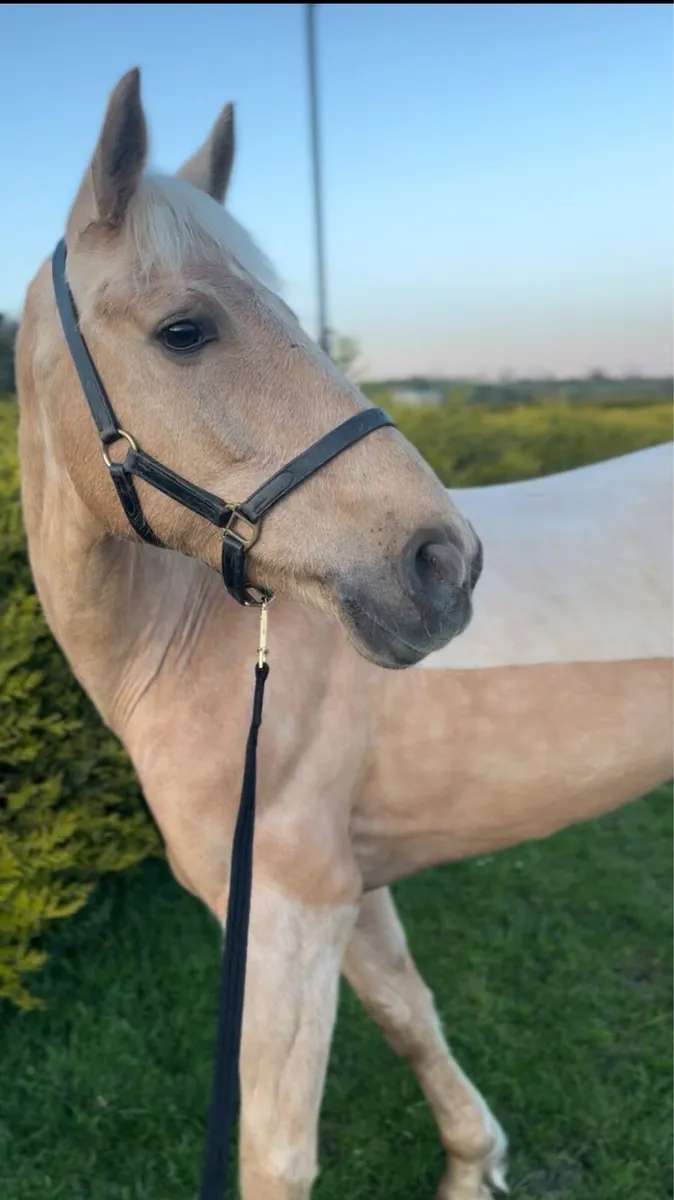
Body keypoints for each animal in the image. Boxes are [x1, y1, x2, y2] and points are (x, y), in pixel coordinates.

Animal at [16, 69, 672, 1200]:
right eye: (184, 330)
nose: (442, 565)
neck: (191, 652)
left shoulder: (288, 913)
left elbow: (276, 1156)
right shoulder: (345, 892)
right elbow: (410, 1015)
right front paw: (474, 1162)